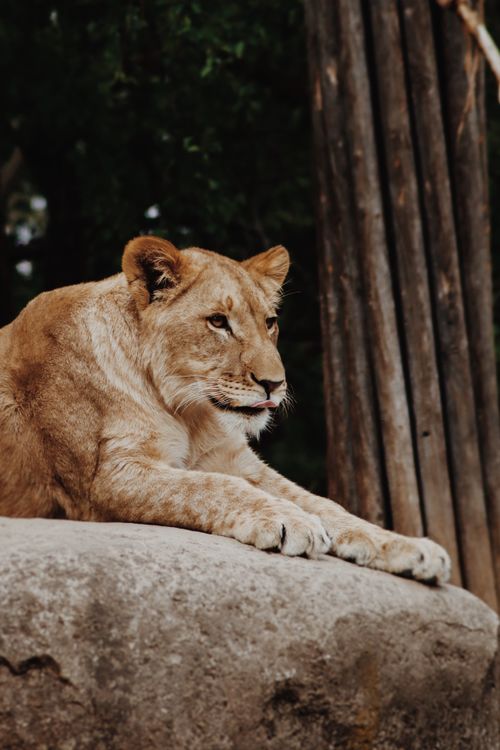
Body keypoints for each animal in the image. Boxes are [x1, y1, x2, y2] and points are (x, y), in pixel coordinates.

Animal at [0, 236, 450, 583]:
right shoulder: (102, 481)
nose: (274, 384)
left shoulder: (234, 459)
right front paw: (290, 520)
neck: (186, 410)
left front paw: (411, 547)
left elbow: (325, 503)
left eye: (269, 322)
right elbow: (208, 487)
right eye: (218, 322)